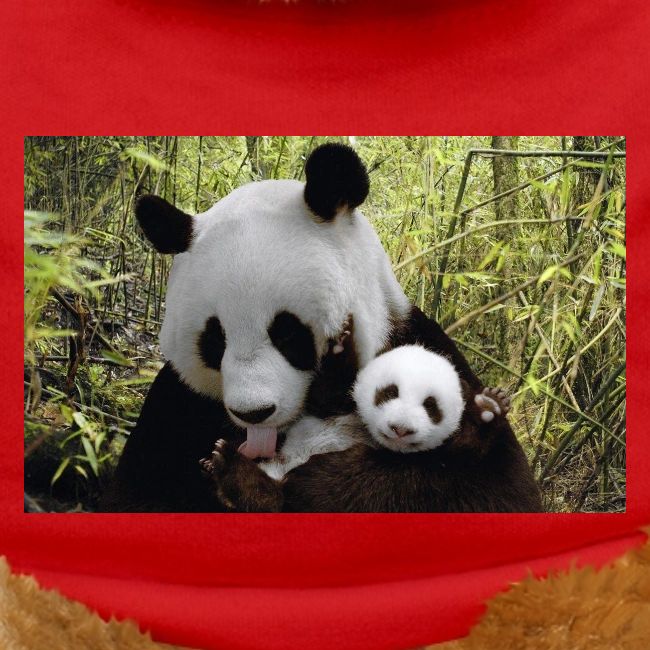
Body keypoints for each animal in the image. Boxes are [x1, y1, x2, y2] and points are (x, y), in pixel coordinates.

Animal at [200, 345, 543, 513]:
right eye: (389, 392)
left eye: (431, 405)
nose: (400, 429)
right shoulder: (342, 403)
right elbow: (326, 394)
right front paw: (339, 349)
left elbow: (464, 450)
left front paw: (488, 409)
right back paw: (217, 462)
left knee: (273, 500)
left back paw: (229, 465)